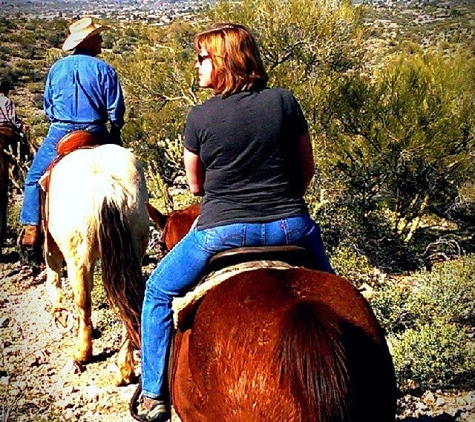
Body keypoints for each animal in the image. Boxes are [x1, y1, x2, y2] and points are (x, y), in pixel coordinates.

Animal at [44, 143, 151, 386]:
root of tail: (105, 182)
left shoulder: (53, 250)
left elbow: (54, 279)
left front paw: (59, 313)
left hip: (78, 258)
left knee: (83, 301)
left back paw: (82, 352)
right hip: (134, 252)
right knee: (130, 299)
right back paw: (124, 369)